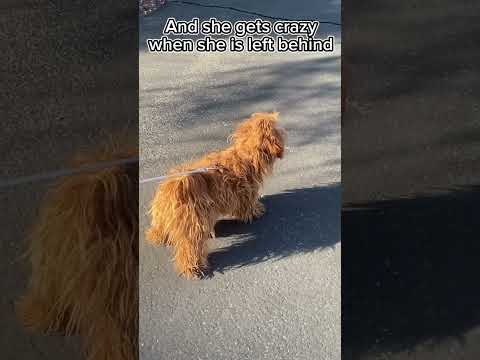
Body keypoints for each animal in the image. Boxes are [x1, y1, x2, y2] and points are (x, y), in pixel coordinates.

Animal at [147, 112, 284, 278]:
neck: (245, 155)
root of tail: (175, 184)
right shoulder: (245, 193)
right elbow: (248, 206)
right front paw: (256, 211)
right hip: (193, 225)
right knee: (189, 249)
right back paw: (193, 268)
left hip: (164, 218)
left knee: (159, 230)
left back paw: (159, 237)